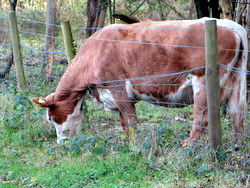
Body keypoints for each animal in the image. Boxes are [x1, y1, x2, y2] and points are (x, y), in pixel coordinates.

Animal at [32, 18, 248, 144]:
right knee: (237, 113)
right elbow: (124, 123)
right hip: (237, 81)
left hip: (203, 82)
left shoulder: (119, 89)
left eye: (50, 118)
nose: (62, 145)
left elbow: (131, 121)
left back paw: (188, 147)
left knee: (202, 118)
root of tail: (231, 25)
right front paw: (128, 144)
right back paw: (236, 146)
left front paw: (135, 147)